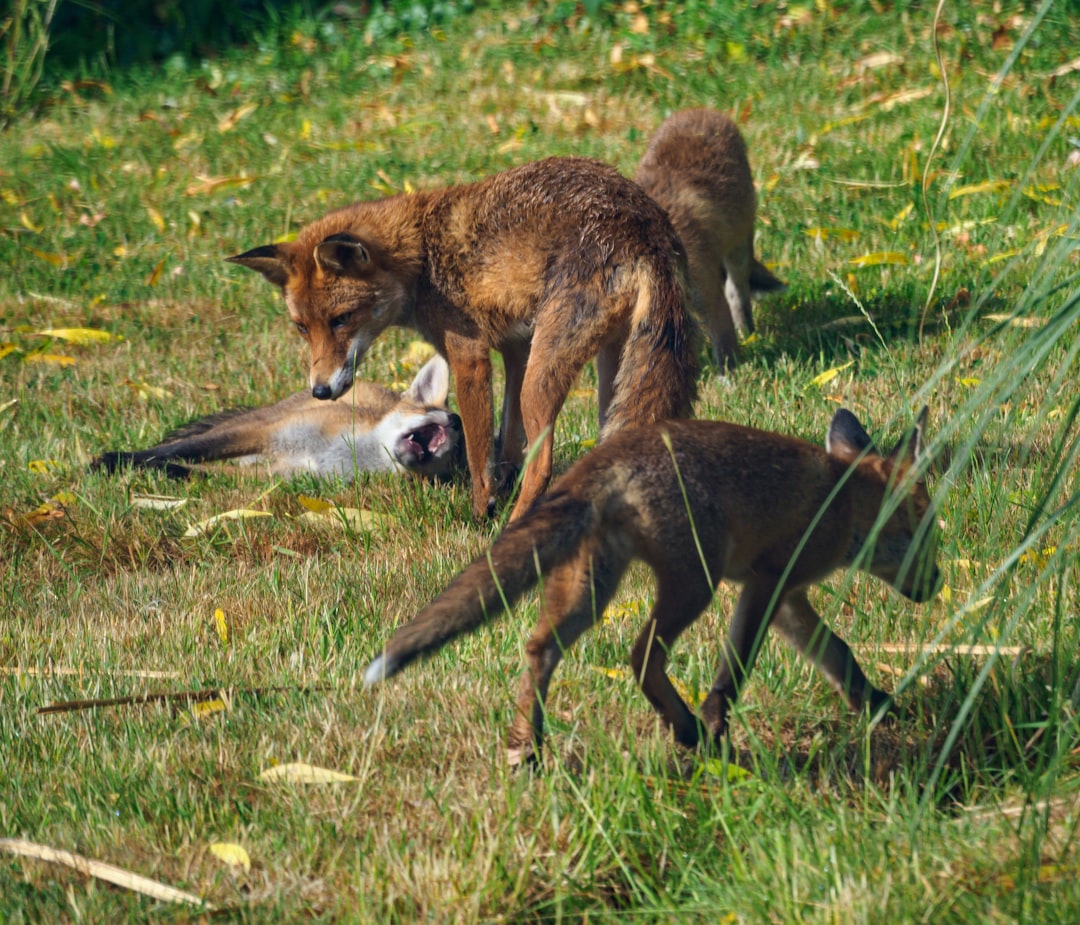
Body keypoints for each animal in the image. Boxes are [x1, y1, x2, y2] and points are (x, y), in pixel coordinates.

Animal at [93, 354, 464, 479]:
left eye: (458, 456)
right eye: (435, 411)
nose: (458, 422)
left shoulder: (281, 476)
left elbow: (195, 472)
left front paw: (160, 472)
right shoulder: (266, 431)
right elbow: (179, 450)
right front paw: (116, 460)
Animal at [231, 156, 695, 523]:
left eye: (341, 320)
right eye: (302, 327)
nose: (321, 391)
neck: (420, 256)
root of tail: (642, 225)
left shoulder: (469, 355)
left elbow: (477, 450)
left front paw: (480, 510)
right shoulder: (516, 348)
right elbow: (507, 441)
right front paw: (500, 489)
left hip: (545, 377)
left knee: (544, 464)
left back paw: (515, 527)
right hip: (610, 368)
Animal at [362, 406, 937, 765]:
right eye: (923, 529)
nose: (935, 584)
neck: (842, 501)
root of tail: (604, 458)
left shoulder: (788, 597)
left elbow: (838, 654)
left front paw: (879, 705)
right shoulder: (766, 582)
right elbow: (733, 673)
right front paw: (715, 725)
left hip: (591, 586)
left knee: (540, 647)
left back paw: (528, 748)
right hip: (694, 582)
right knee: (641, 655)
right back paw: (685, 730)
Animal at [630, 107, 786, 369]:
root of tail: (701, 110)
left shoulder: (706, 291)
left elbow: (724, 342)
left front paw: (730, 374)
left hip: (738, 250)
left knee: (736, 291)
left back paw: (747, 332)